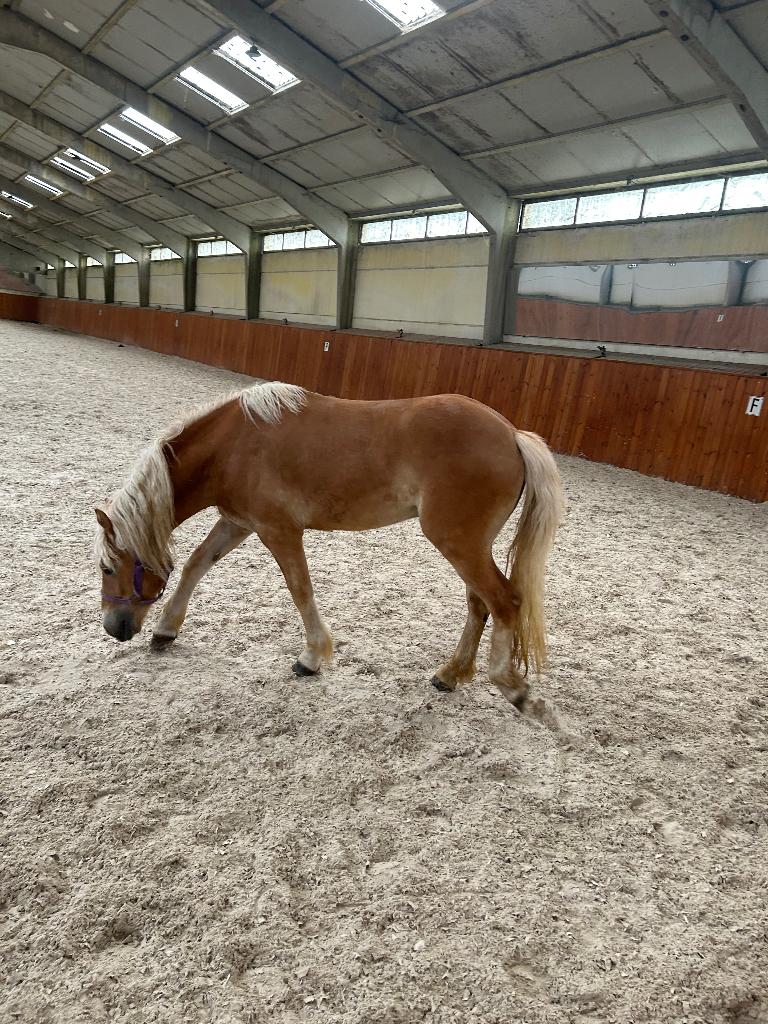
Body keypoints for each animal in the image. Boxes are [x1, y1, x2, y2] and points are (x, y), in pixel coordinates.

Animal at [95, 381, 563, 708]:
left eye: (106, 567)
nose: (114, 628)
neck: (233, 445)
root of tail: (512, 434)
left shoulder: (278, 530)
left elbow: (300, 589)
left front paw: (312, 657)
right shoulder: (237, 523)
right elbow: (196, 564)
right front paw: (166, 629)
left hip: (458, 542)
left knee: (505, 601)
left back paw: (510, 687)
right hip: (468, 546)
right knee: (480, 604)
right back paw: (450, 674)